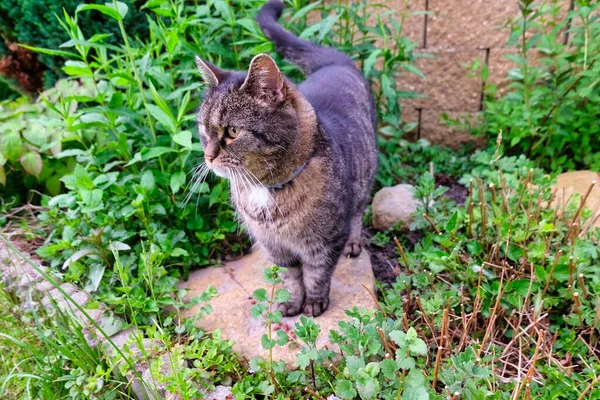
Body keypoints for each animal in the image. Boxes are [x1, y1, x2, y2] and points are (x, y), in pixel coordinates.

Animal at [196, 0, 376, 318]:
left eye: (232, 131)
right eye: (204, 129)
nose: (208, 156)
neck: (266, 189)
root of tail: (337, 62)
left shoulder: (325, 242)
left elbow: (316, 274)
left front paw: (314, 303)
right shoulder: (275, 248)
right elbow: (291, 277)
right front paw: (293, 302)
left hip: (363, 178)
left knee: (357, 212)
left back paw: (354, 243)